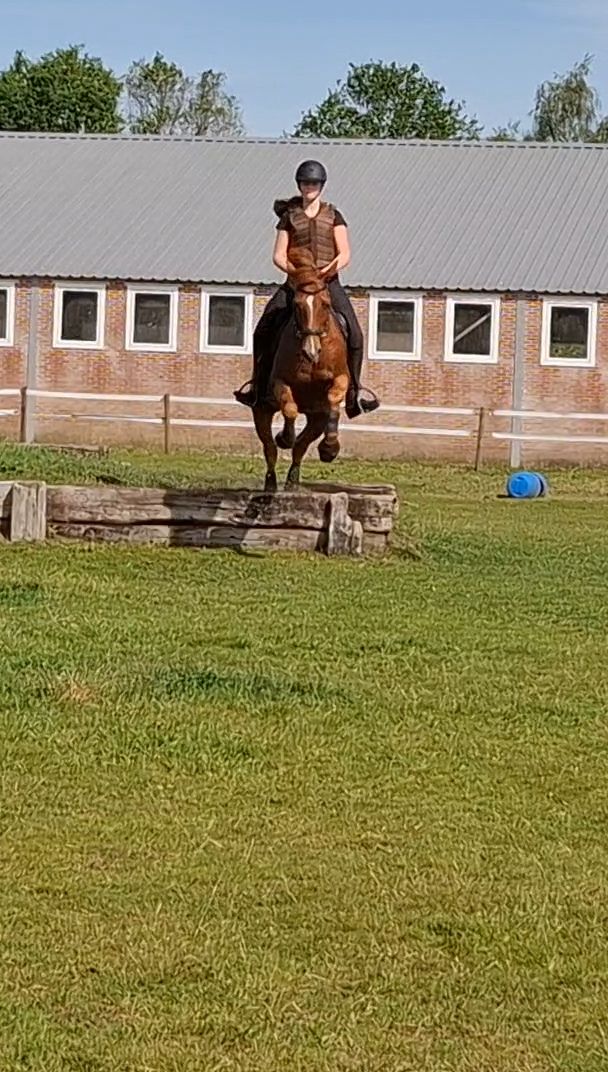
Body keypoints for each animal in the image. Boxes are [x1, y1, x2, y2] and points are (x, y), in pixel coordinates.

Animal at [252, 248, 350, 491]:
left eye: (325, 304)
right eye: (297, 305)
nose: (311, 351)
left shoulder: (341, 378)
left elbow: (334, 399)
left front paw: (330, 449)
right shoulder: (279, 382)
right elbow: (289, 409)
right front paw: (284, 437)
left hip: (316, 418)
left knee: (301, 446)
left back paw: (293, 480)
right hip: (261, 410)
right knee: (270, 448)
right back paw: (271, 483)